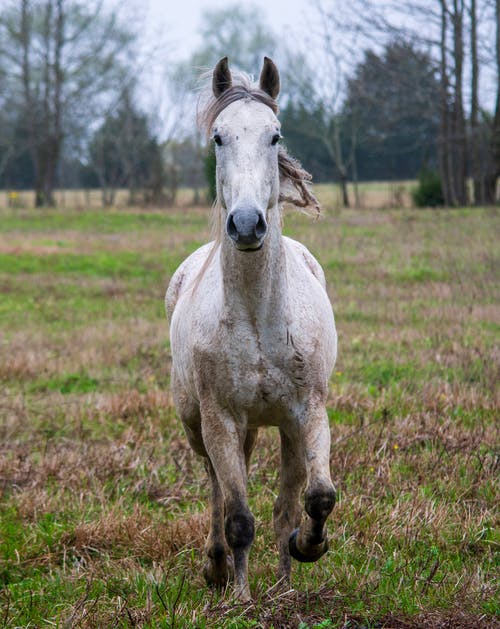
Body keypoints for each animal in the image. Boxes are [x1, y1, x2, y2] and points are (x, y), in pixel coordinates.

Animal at [167, 57, 336, 600]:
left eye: (274, 135)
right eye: (219, 138)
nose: (245, 224)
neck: (259, 319)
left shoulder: (306, 413)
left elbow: (316, 497)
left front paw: (304, 554)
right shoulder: (220, 420)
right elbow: (239, 516)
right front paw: (240, 599)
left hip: (273, 428)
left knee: (283, 502)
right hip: (198, 425)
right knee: (217, 492)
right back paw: (219, 568)